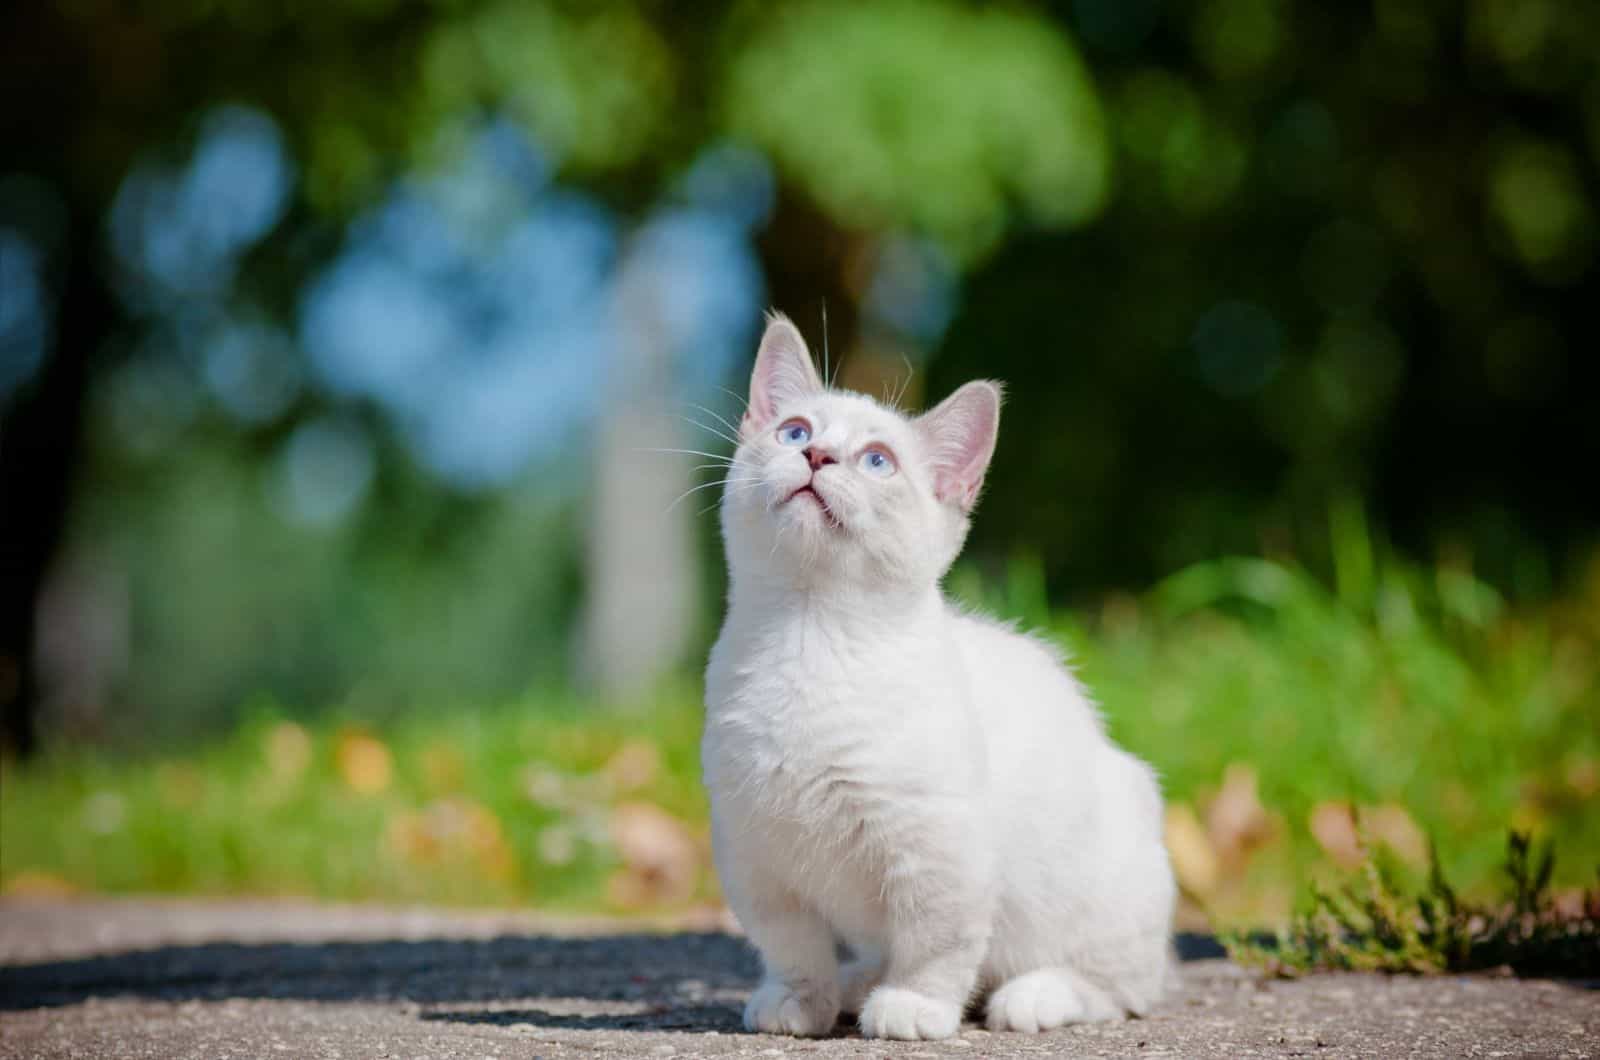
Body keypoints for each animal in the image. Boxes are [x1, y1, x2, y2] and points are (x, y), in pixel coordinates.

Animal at [704, 312, 1177, 1043]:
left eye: (877, 460)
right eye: (796, 431)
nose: (818, 457)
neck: (808, 637)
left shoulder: (939, 847)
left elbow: (936, 941)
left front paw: (914, 1007)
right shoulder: (754, 851)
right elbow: (790, 944)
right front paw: (798, 1000)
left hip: (1100, 894)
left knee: (1123, 986)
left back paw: (1034, 996)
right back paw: (857, 980)